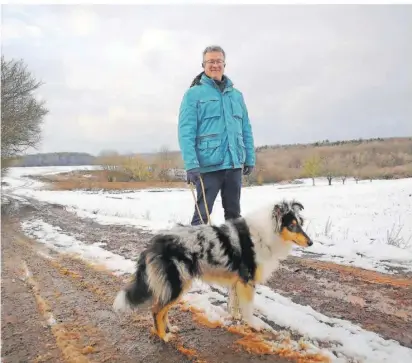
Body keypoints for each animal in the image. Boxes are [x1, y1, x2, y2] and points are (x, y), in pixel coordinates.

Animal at [112, 200, 312, 342]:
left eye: (301, 223)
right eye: (292, 225)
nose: (310, 242)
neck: (266, 233)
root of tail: (153, 244)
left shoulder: (237, 282)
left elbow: (235, 304)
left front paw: (236, 318)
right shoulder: (247, 281)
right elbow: (248, 308)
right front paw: (253, 325)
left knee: (162, 309)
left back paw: (169, 329)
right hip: (177, 284)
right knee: (156, 310)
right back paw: (164, 336)